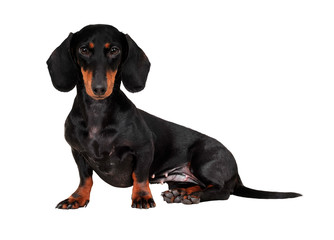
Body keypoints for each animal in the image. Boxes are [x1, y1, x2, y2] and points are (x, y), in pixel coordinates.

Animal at [46, 23, 300, 209]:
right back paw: (180, 192)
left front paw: (142, 197)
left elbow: (140, 176)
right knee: (204, 186)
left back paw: (191, 197)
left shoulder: (144, 149)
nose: (99, 89)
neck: (98, 114)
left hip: (204, 161)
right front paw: (77, 198)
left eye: (114, 50)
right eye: (84, 50)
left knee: (222, 191)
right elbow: (85, 178)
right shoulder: (78, 153)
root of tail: (236, 172)